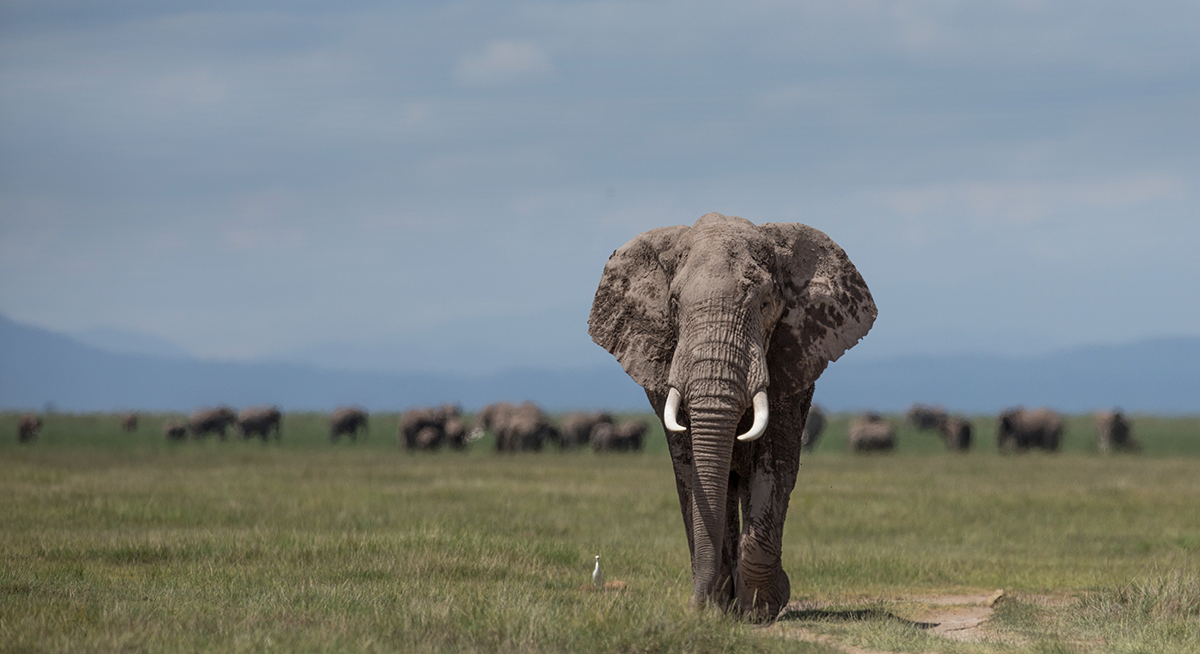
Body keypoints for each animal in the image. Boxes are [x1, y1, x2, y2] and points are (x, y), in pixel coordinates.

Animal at [588, 211, 878, 619]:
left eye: (765, 303)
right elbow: (690, 471)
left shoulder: (792, 360)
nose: (696, 605)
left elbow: (775, 463)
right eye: (673, 304)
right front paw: (718, 606)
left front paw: (763, 607)